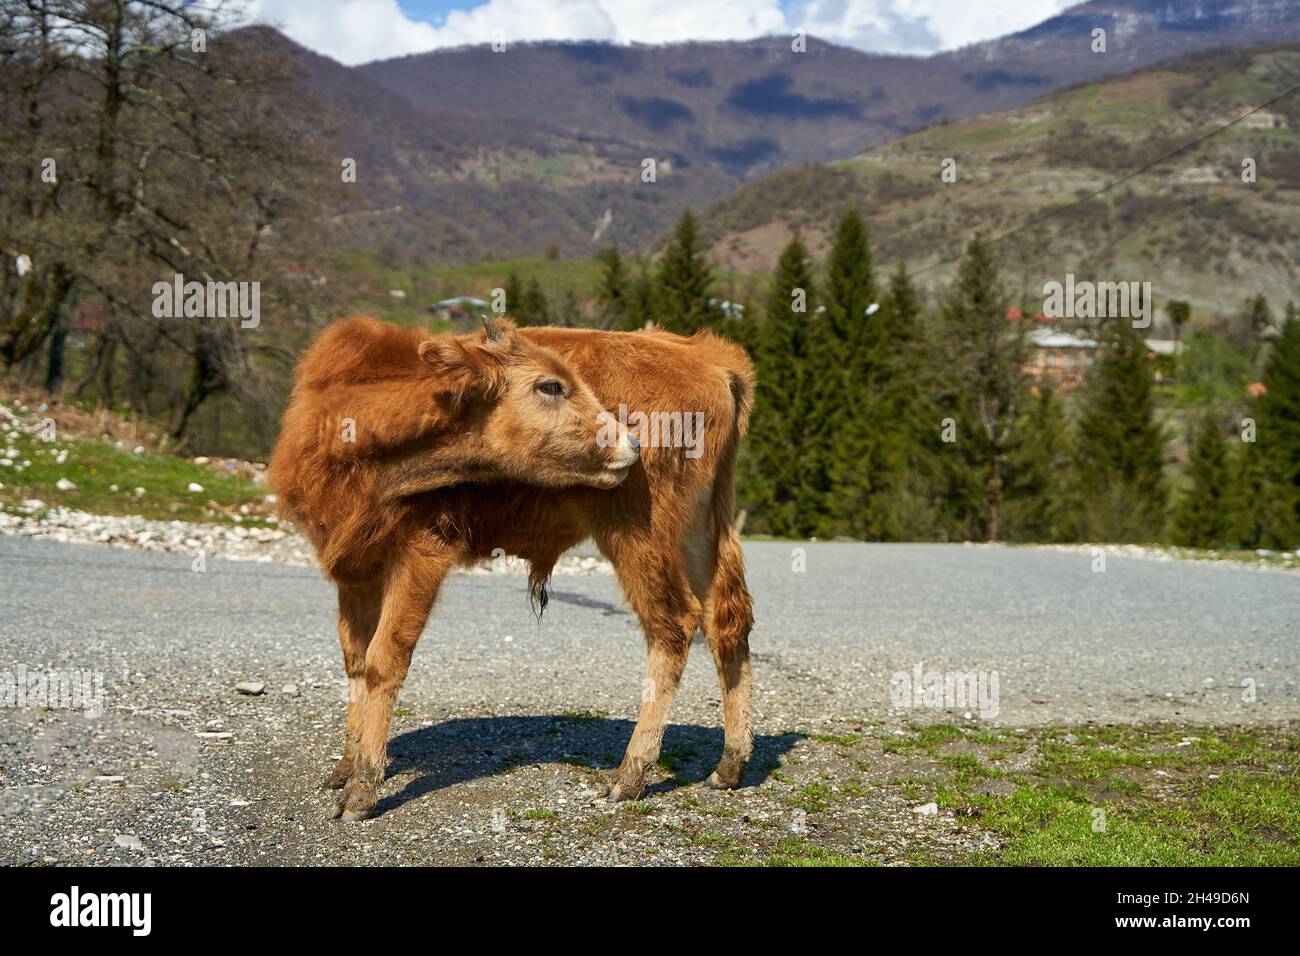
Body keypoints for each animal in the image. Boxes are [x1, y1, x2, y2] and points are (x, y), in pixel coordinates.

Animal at [269, 316, 759, 822]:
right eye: (550, 385)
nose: (631, 441)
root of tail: (706, 355)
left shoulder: (420, 553)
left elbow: (385, 658)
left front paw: (362, 789)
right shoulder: (356, 567)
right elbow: (356, 658)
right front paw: (345, 767)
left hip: (640, 535)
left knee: (673, 624)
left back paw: (630, 775)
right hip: (701, 531)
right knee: (726, 620)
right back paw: (729, 766)